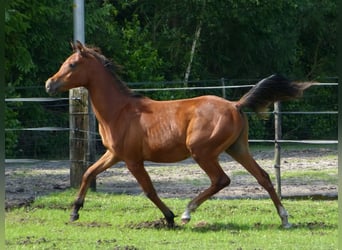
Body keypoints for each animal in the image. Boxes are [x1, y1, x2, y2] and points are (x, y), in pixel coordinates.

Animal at [46, 41, 312, 229]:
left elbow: (149, 190)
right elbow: (88, 173)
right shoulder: (114, 154)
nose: (49, 84)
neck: (120, 111)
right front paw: (74, 211)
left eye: (72, 65)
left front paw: (170, 217)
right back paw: (285, 218)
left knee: (221, 180)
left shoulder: (132, 160)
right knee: (263, 177)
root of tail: (235, 105)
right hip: (237, 148)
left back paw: (186, 213)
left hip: (202, 152)